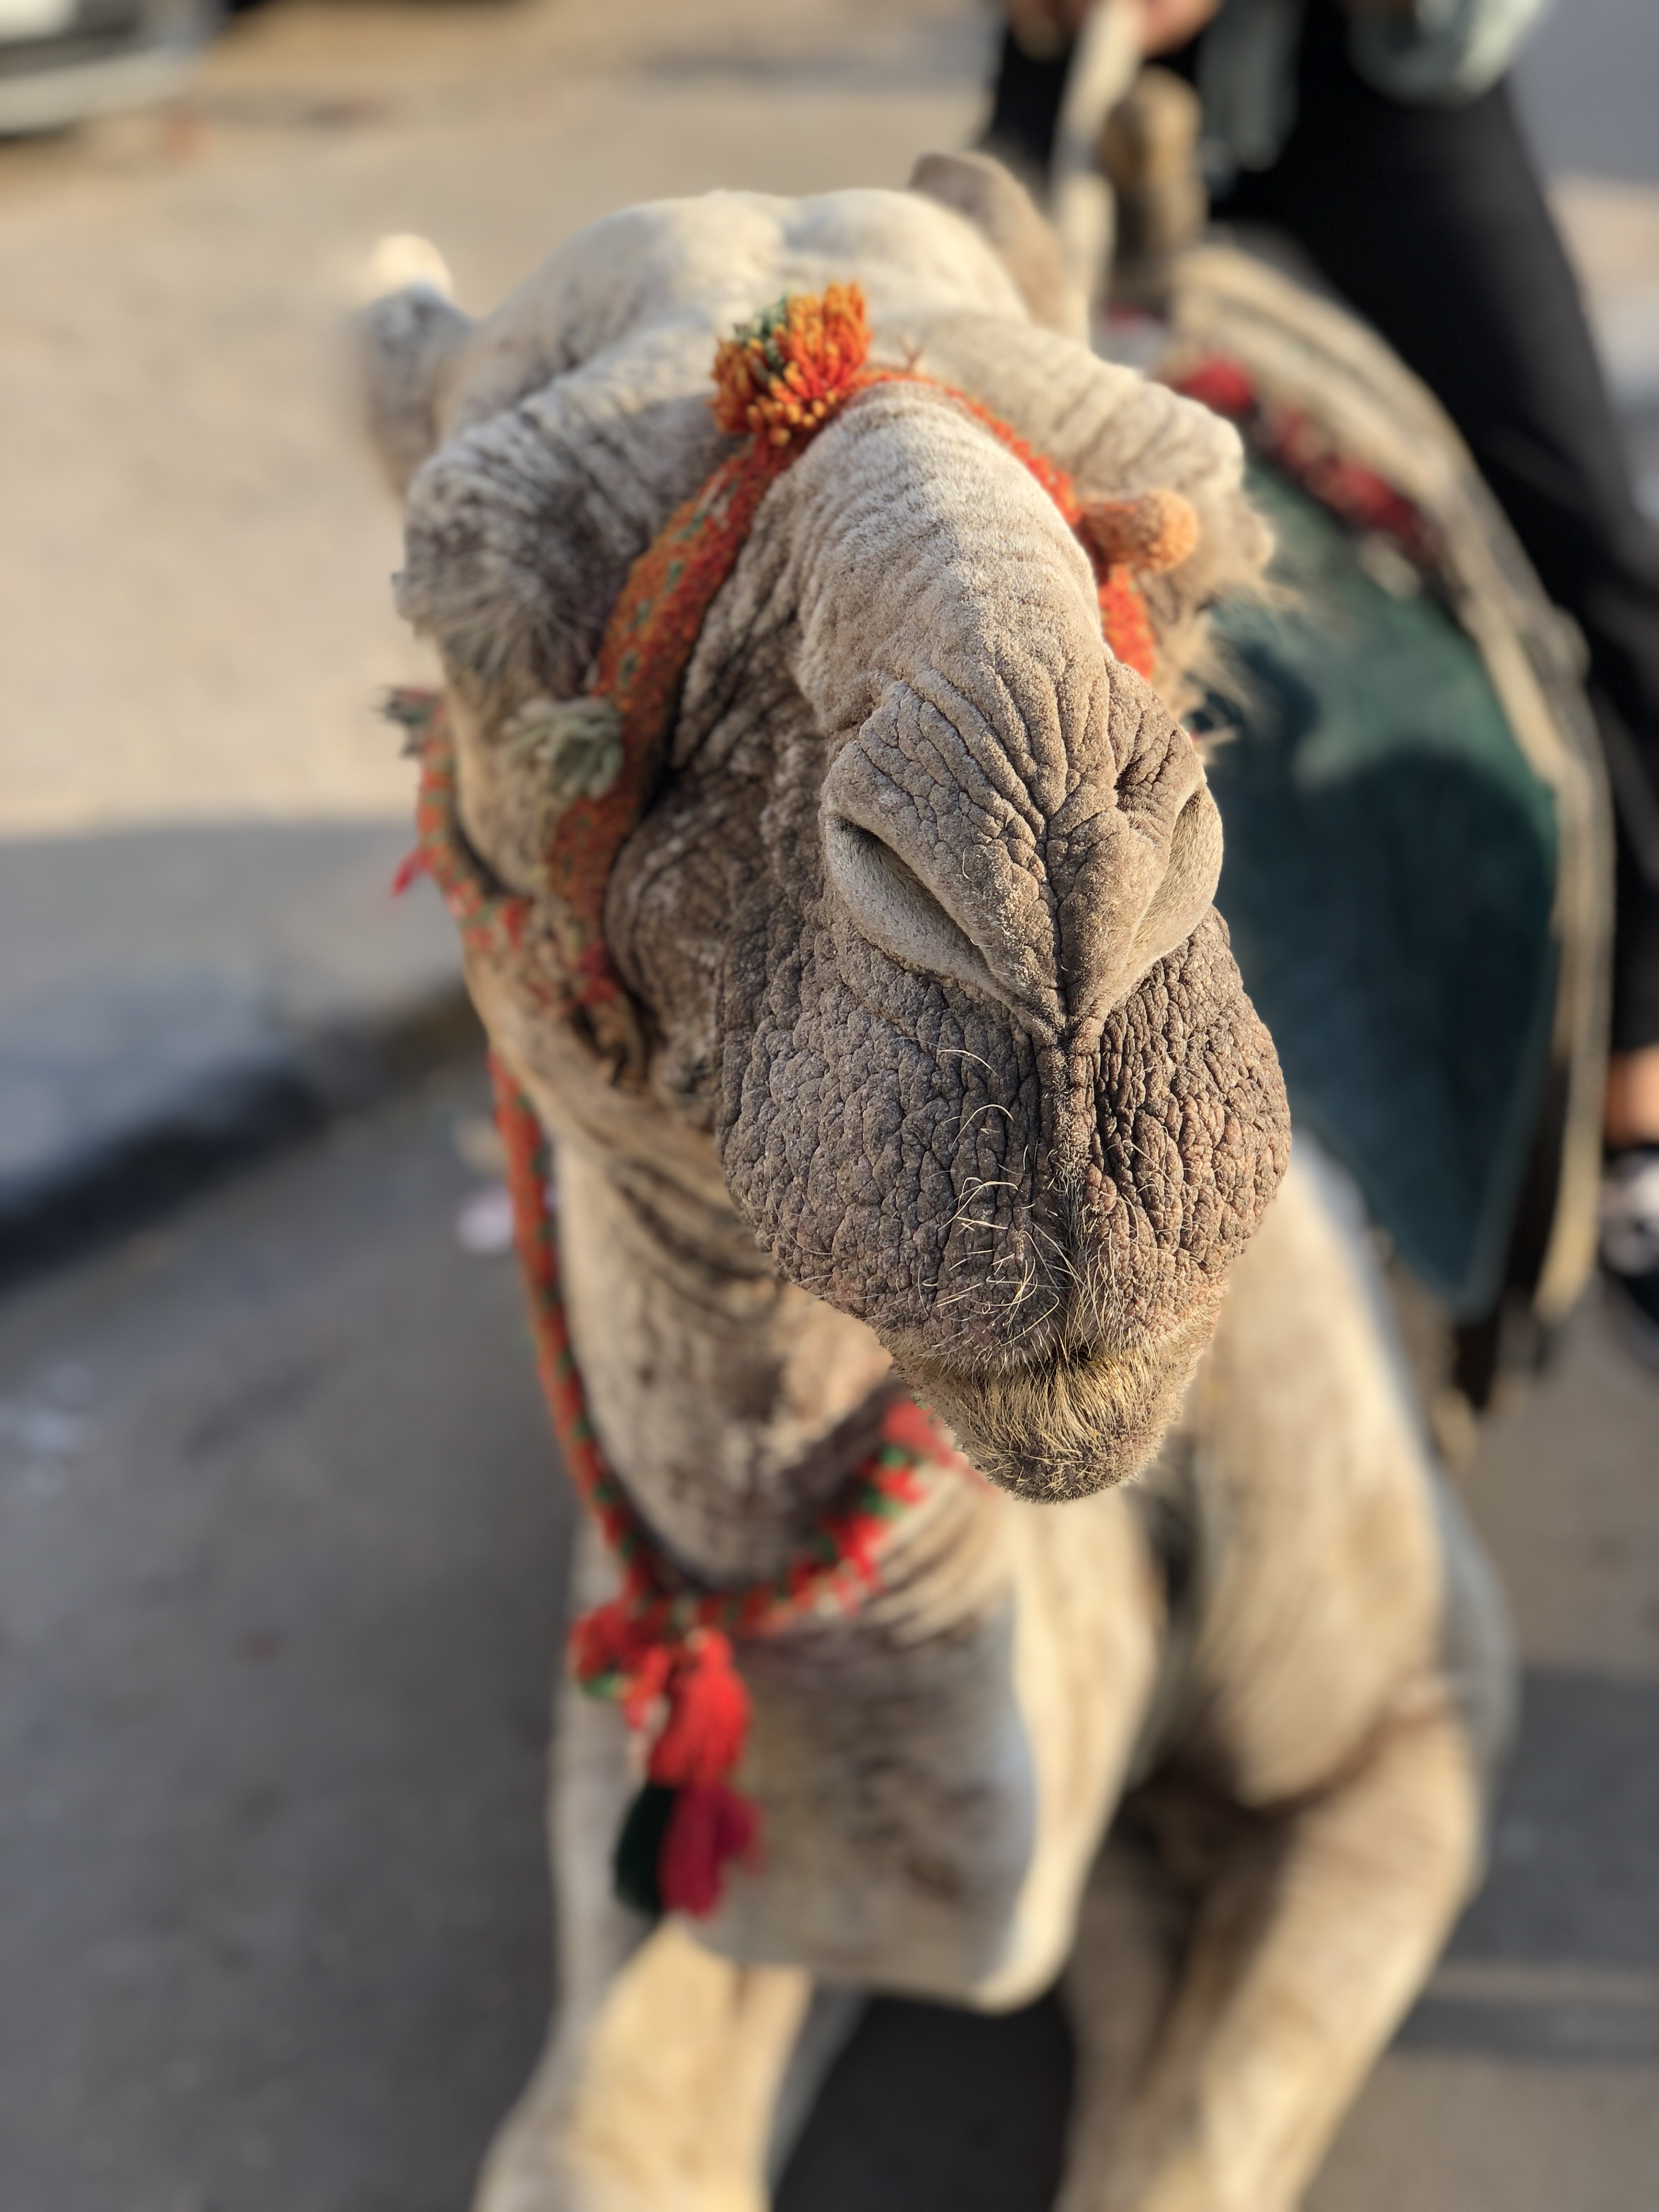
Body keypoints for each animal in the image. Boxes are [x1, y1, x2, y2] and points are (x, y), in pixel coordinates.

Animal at [360, 158, 1513, 2212]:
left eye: (1196, 533)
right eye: (475, 606)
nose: (1049, 890)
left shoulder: (1413, 1727)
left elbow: (1181, 2132)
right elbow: (598, 2126)